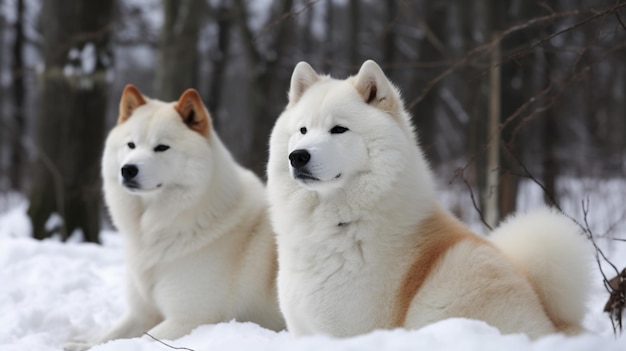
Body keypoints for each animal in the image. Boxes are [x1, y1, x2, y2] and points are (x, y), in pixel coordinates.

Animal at [67, 86, 282, 351]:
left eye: (161, 147)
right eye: (131, 145)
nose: (128, 170)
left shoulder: (189, 320)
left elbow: (135, 341)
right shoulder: (141, 313)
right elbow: (108, 335)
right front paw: (79, 343)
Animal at [264, 61, 588, 340]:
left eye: (339, 129)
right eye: (303, 130)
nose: (298, 156)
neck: (336, 223)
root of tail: (554, 322)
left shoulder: (350, 330)